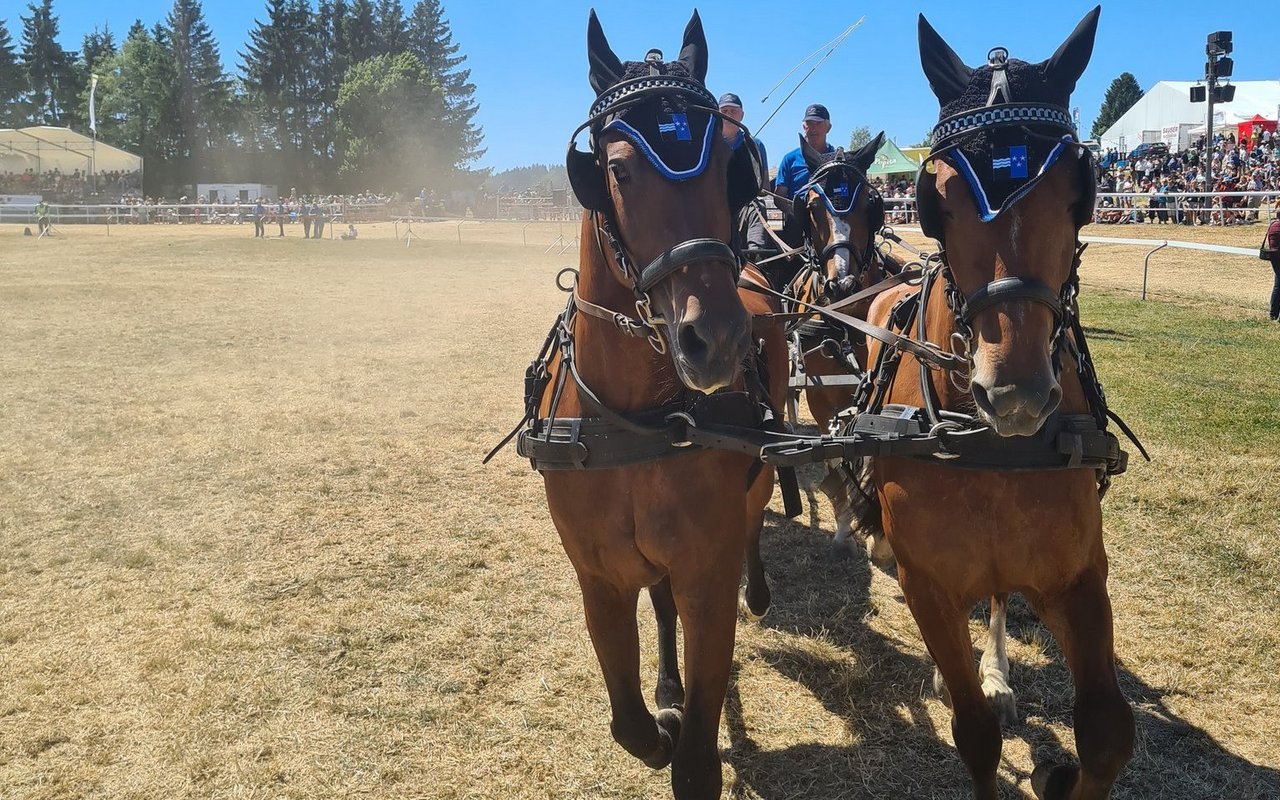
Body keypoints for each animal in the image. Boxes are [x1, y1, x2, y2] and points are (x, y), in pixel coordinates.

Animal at [517, 12, 778, 798]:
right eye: (620, 170)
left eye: (729, 165)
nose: (716, 339)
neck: (632, 419)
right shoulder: (598, 577)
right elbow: (628, 722)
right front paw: (660, 718)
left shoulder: (707, 576)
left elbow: (696, 763)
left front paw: (685, 733)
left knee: (756, 521)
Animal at [865, 7, 1136, 798]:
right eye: (936, 198)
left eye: (1079, 192)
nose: (1013, 393)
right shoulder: (926, 581)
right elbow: (975, 734)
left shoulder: (1077, 575)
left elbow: (1107, 733)